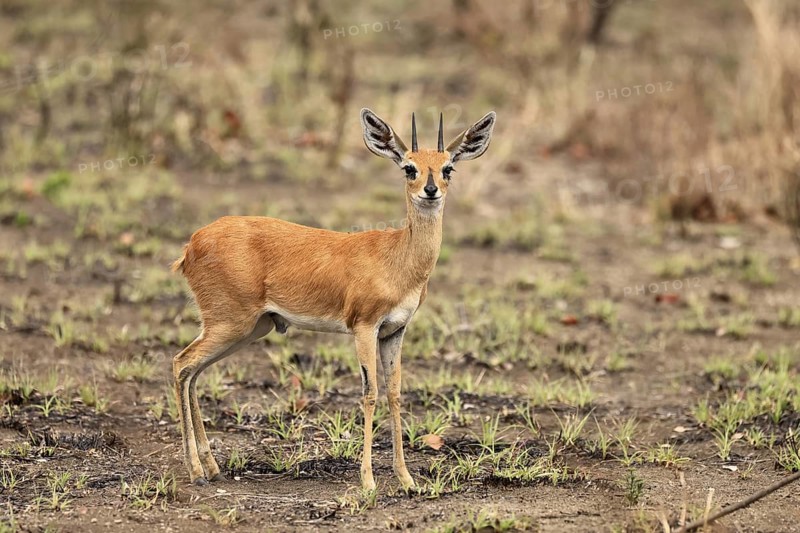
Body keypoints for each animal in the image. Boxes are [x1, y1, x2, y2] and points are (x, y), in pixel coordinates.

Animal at [171, 108, 496, 489]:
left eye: (448, 168)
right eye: (409, 168)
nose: (430, 191)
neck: (398, 257)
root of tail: (192, 244)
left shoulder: (394, 331)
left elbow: (394, 392)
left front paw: (406, 479)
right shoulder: (364, 327)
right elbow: (370, 393)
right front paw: (368, 481)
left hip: (247, 329)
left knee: (193, 372)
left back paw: (211, 468)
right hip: (229, 324)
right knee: (181, 364)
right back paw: (195, 471)